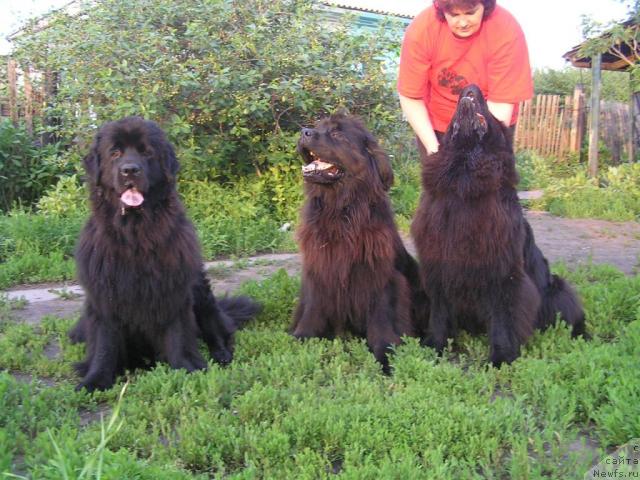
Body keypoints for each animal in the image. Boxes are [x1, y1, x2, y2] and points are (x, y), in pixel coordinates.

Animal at [69, 117, 260, 394]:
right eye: (114, 153)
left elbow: (178, 335)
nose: (130, 170)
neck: (136, 234)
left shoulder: (173, 289)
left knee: (216, 329)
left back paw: (221, 354)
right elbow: (104, 344)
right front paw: (95, 381)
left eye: (146, 152)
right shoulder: (105, 295)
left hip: (202, 294)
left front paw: (186, 370)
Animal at [292, 114, 428, 374]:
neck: (340, 210)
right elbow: (312, 308)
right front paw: (301, 340)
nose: (304, 131)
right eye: (317, 127)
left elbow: (381, 319)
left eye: (337, 134)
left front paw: (385, 355)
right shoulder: (319, 267)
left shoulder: (380, 275)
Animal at [412, 84, 588, 366]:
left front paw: (501, 357)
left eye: (492, 113)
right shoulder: (438, 266)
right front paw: (434, 346)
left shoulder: (503, 273)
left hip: (556, 289)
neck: (464, 180)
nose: (469, 88)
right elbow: (439, 313)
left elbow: (503, 317)